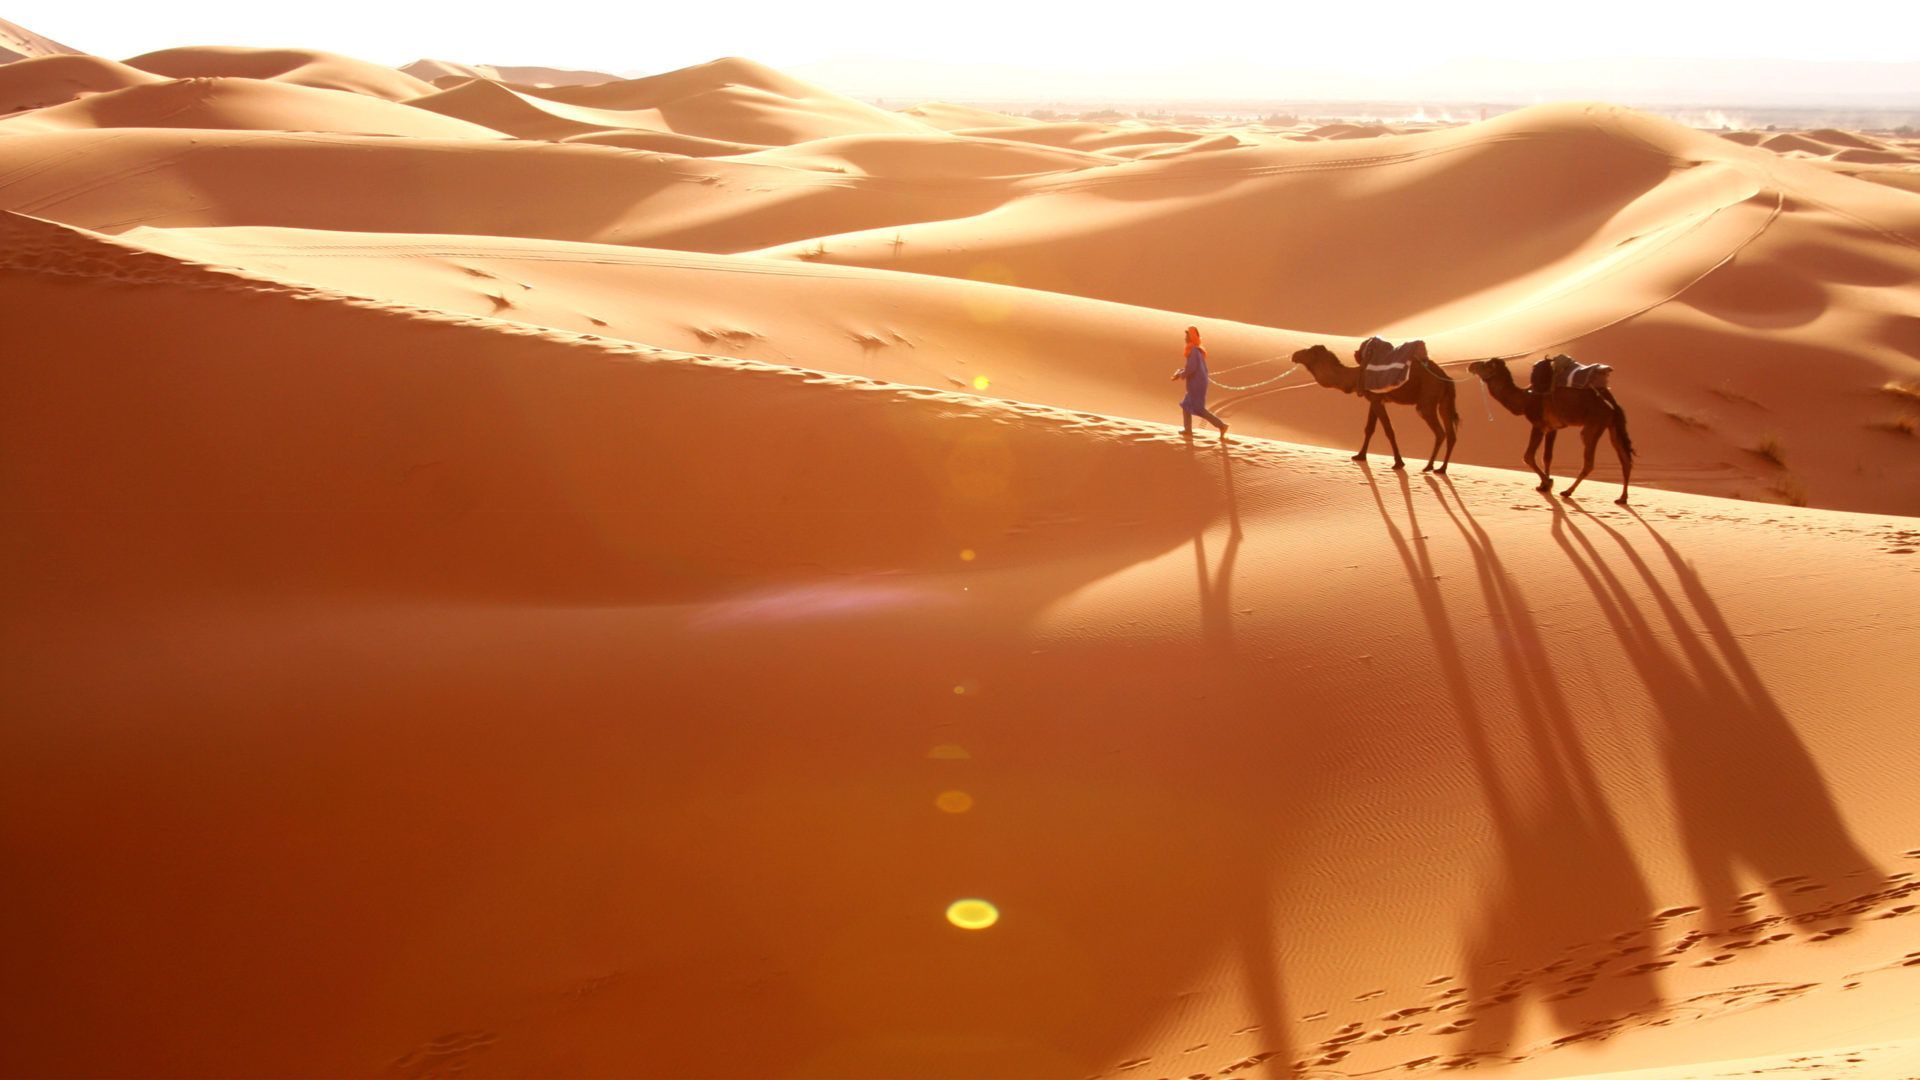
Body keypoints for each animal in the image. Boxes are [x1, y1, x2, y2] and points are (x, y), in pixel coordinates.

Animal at [1291, 343, 1460, 473]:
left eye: (1309, 351)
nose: (1294, 355)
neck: (1356, 375)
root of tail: (1446, 378)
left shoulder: (1377, 399)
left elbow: (1389, 430)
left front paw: (1398, 463)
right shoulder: (1373, 399)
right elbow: (1369, 428)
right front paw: (1360, 456)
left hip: (1427, 400)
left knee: (1439, 432)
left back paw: (1429, 466)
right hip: (1444, 401)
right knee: (1451, 434)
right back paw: (1441, 469)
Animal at [1467, 357, 1634, 503]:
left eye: (1486, 365)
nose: (1471, 365)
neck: (1525, 399)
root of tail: (1613, 403)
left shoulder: (1538, 425)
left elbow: (1528, 456)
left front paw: (1548, 482)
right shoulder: (1552, 428)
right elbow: (1547, 457)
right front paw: (1544, 486)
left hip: (1593, 425)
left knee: (1589, 462)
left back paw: (1567, 491)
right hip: (1612, 426)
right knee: (1625, 459)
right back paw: (1622, 498)